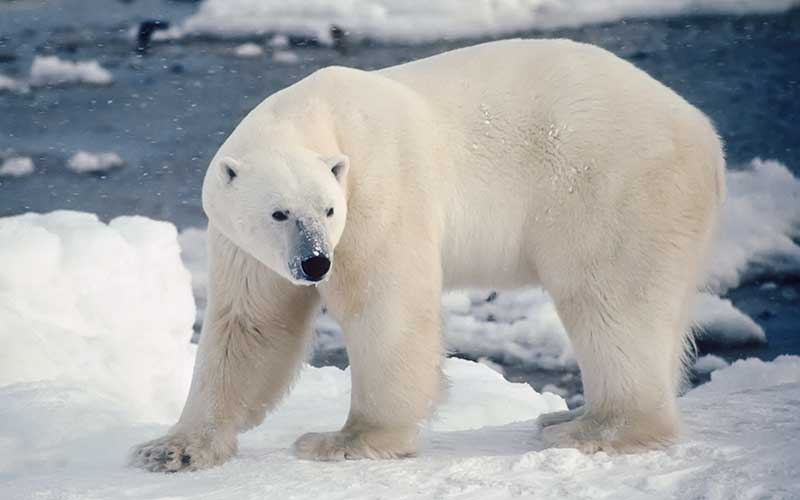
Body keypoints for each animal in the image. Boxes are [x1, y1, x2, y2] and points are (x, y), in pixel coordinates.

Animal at [130, 38, 725, 472]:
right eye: (279, 213)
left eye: (328, 209)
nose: (316, 263)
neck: (318, 113)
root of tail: (704, 132)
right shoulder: (243, 243)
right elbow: (251, 324)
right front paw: (172, 448)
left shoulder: (379, 189)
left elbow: (385, 305)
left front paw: (346, 439)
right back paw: (568, 416)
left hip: (610, 183)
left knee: (611, 298)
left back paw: (593, 426)